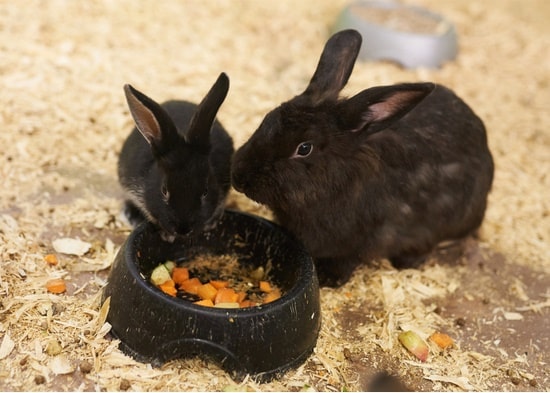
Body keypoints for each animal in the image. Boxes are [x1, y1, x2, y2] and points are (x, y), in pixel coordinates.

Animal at [233, 29, 496, 284]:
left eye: (304, 148)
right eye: (267, 119)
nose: (238, 178)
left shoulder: (357, 244)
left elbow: (346, 262)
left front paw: (328, 280)